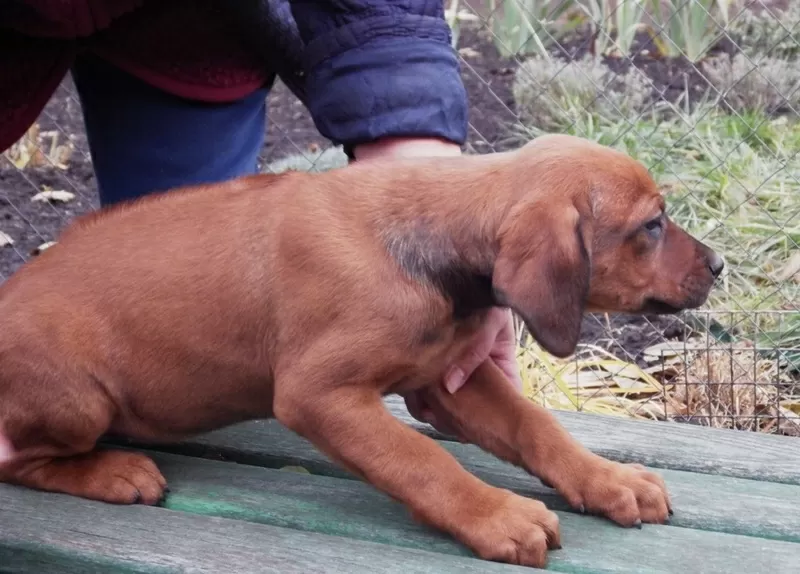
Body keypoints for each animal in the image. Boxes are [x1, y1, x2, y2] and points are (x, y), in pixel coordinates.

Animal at [0, 136, 720, 572]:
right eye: (652, 225)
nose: (719, 265)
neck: (430, 240)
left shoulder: (446, 381)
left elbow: (535, 426)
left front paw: (607, 479)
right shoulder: (319, 395)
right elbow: (421, 460)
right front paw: (497, 516)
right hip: (80, 400)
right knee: (17, 459)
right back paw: (113, 472)